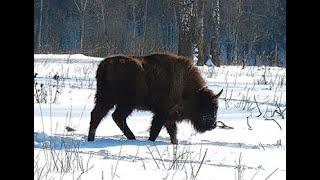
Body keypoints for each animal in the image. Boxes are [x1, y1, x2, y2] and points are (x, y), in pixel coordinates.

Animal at [87, 52, 222, 144]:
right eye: (206, 106)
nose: (213, 124)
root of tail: (105, 66)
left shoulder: (169, 115)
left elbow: (172, 131)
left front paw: (175, 143)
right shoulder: (162, 113)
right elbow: (156, 129)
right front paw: (151, 141)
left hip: (106, 100)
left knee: (99, 115)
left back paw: (92, 139)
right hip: (123, 103)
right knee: (114, 116)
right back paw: (131, 138)